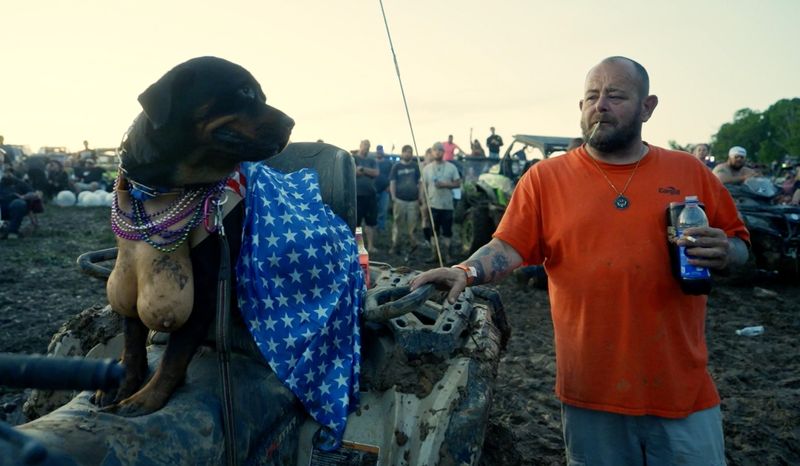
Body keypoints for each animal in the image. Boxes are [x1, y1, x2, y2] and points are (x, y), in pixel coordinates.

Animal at [98, 55, 294, 416]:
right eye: (245, 92)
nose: (292, 122)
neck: (166, 185)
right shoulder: (131, 270)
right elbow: (132, 337)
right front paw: (125, 382)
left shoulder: (208, 284)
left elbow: (175, 354)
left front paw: (148, 397)